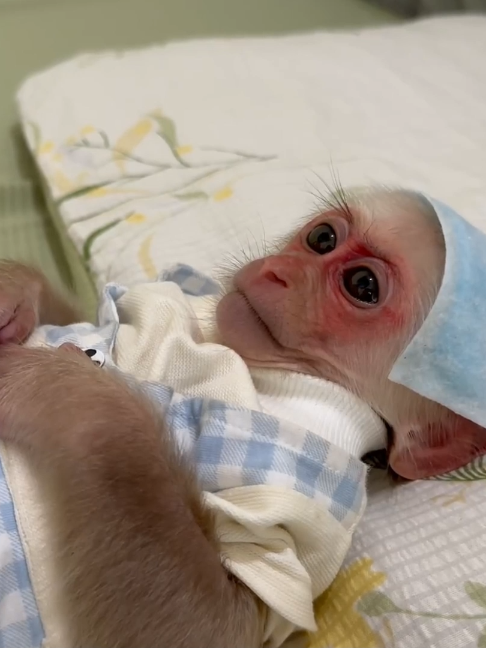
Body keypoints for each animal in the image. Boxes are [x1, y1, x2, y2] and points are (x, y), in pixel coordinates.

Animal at [0, 186, 483, 648]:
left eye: (363, 285)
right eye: (322, 238)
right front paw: (15, 293)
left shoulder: (308, 478)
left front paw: (58, 382)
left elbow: (217, 628)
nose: (276, 271)